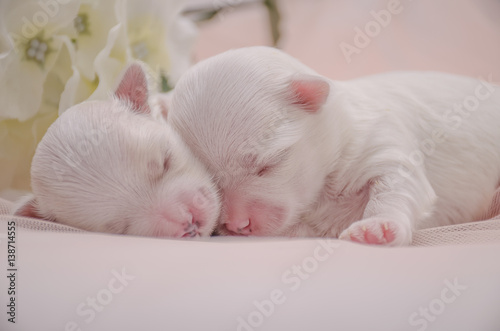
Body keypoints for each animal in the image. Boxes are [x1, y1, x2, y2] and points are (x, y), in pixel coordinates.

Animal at [169, 46, 500, 246]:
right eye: (213, 182)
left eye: (269, 165)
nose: (238, 225)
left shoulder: (384, 147)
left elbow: (394, 189)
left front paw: (378, 226)